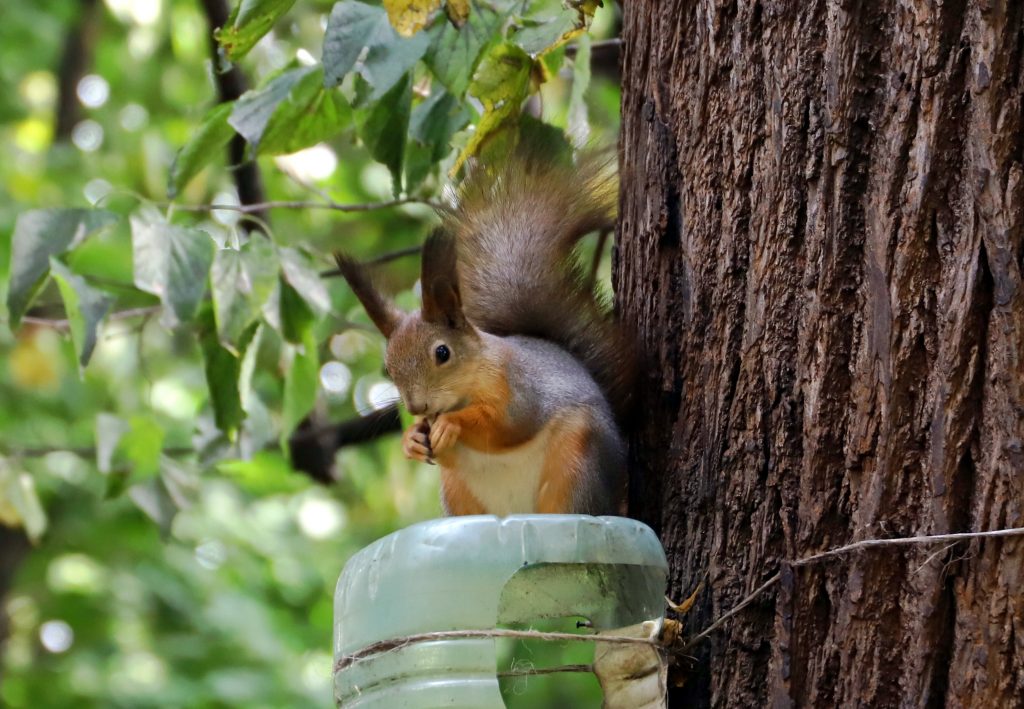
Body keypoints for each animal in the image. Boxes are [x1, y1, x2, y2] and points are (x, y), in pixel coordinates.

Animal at [334, 145, 635, 516]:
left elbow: (507, 425)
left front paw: (454, 423)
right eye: (388, 368)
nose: (416, 408)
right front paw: (412, 439)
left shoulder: (519, 386)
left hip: (577, 462)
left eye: (442, 352)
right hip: (458, 492)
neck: (466, 385)